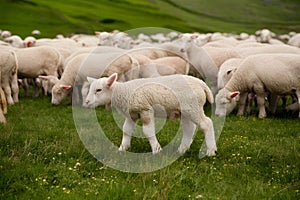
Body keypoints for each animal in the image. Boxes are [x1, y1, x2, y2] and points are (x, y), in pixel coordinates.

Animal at [84, 73, 216, 156]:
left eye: (99, 90)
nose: (86, 102)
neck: (123, 92)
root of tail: (201, 84)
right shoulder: (132, 114)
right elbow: (126, 130)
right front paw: (122, 149)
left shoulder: (145, 109)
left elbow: (147, 131)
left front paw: (156, 150)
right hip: (185, 110)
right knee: (189, 129)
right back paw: (182, 150)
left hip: (193, 107)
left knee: (206, 124)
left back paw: (211, 151)